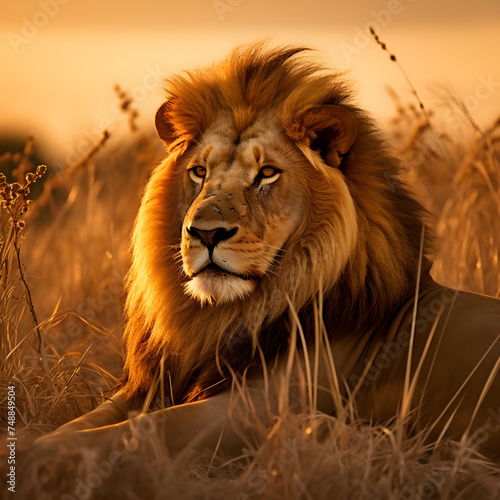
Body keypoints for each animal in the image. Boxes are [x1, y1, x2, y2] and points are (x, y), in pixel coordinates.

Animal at [36, 41, 500, 466]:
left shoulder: (252, 409)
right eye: (199, 171)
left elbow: (137, 431)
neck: (223, 319)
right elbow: (80, 424)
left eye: (267, 174)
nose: (205, 233)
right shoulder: (154, 385)